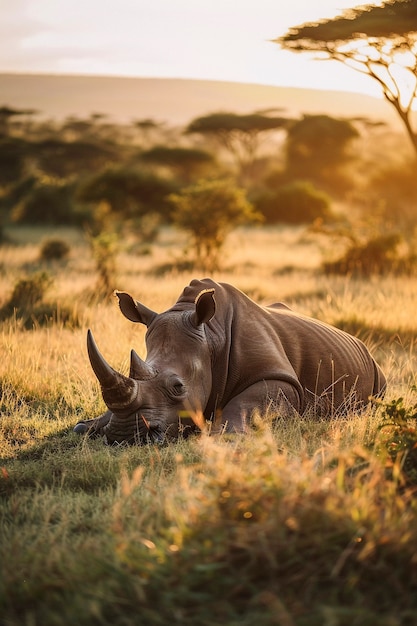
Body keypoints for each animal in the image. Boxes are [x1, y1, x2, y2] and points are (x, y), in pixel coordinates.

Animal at [73, 278, 386, 444]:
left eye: (177, 387)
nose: (125, 435)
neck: (211, 338)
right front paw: (86, 426)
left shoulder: (280, 379)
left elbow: (247, 402)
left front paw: (221, 433)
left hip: (376, 369)